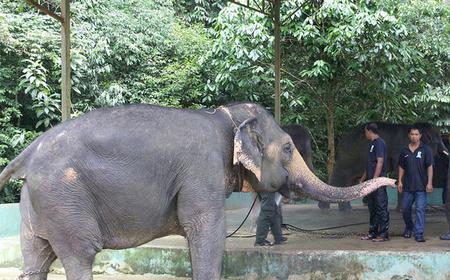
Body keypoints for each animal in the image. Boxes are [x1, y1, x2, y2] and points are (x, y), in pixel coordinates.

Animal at [0, 103, 394, 280]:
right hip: (63, 197)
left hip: (37, 203)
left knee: (36, 259)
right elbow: (207, 231)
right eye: (286, 148)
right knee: (79, 255)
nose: (391, 181)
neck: (224, 116)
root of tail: (28, 153)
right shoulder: (201, 171)